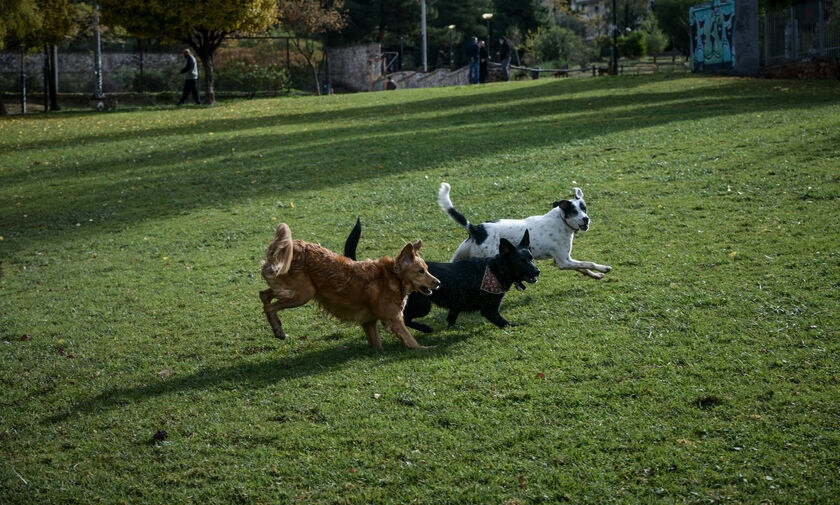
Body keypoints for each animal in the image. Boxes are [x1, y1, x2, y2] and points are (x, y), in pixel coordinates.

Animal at [258, 222, 440, 348]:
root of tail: (292, 245)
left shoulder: (369, 322)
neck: (393, 277)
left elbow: (377, 345)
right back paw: (278, 330)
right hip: (303, 293)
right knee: (270, 306)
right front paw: (429, 348)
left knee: (264, 295)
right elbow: (413, 342)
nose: (438, 283)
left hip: (294, 289)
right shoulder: (394, 320)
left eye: (427, 269)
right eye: (421, 271)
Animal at [344, 218, 540, 330]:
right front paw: (517, 325)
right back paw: (425, 328)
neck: (495, 269)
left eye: (531, 258)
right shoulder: (490, 311)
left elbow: (451, 318)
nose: (537, 271)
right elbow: (504, 322)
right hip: (423, 304)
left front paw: (454, 328)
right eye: (521, 261)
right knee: (405, 318)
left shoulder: (456, 305)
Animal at [440, 182, 612, 280]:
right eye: (574, 212)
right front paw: (604, 268)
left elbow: (583, 268)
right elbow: (588, 263)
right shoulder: (564, 262)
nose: (586, 219)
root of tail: (476, 228)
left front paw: (596, 275)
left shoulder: (564, 260)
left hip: (459, 256)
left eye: (584, 208)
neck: (561, 221)